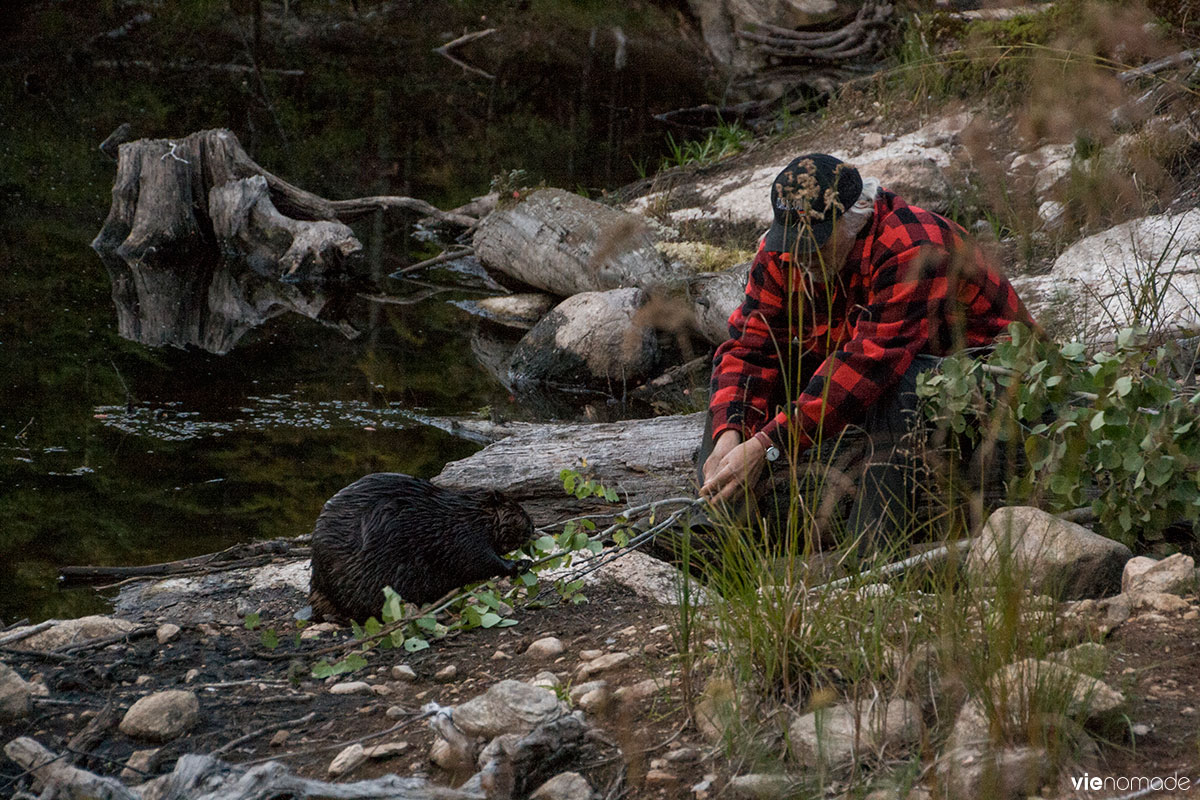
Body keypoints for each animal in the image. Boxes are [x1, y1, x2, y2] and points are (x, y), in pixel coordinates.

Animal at [309, 472, 535, 623]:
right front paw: (519, 563)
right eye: (519, 510)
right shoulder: (464, 535)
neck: (468, 513)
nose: (533, 526)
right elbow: (479, 559)